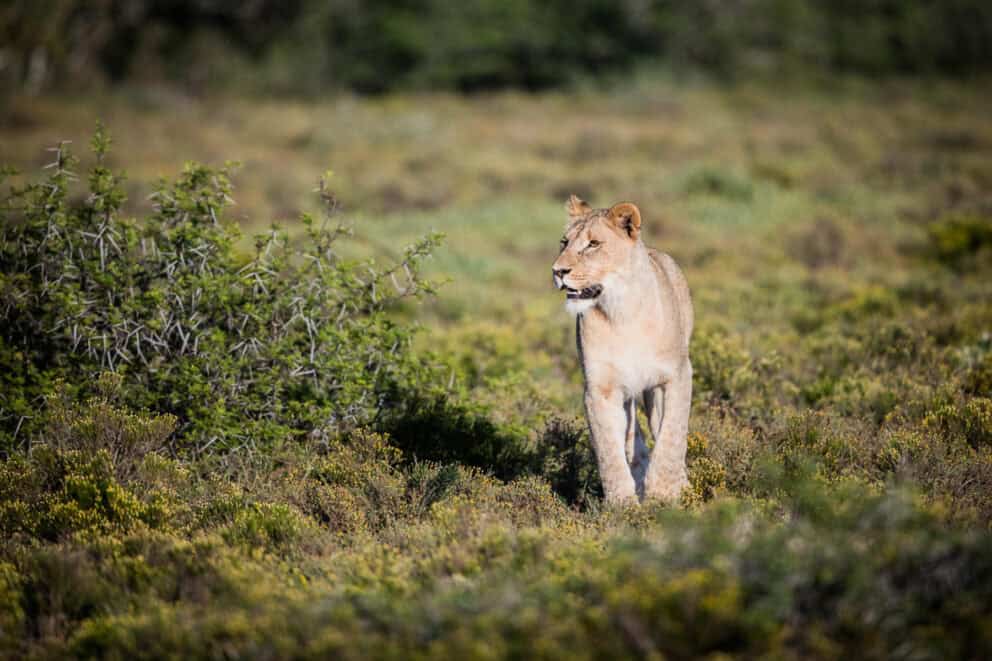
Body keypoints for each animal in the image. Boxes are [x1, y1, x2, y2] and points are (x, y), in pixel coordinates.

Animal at [552, 195, 693, 505]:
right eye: (564, 242)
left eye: (593, 244)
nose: (557, 271)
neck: (621, 312)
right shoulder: (600, 388)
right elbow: (609, 450)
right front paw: (623, 504)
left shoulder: (676, 375)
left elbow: (672, 435)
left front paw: (664, 494)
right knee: (633, 438)